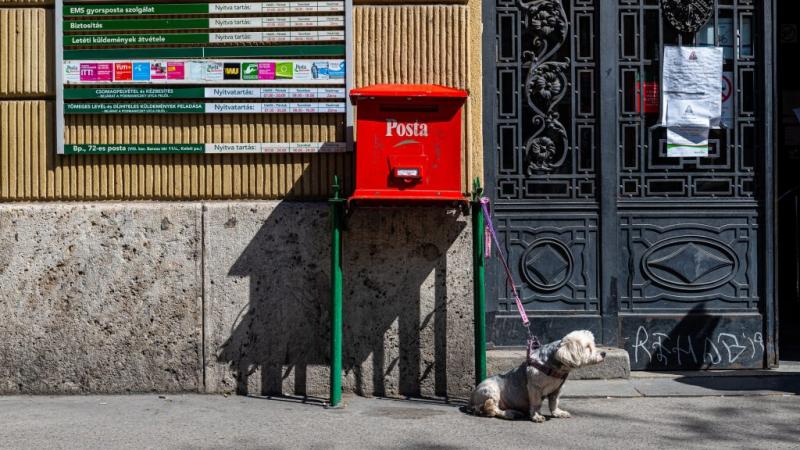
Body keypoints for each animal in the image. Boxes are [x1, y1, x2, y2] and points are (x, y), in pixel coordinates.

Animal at [466, 330, 604, 422]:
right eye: (588, 347)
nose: (604, 353)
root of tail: (471, 400)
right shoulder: (535, 388)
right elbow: (536, 403)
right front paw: (536, 416)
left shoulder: (557, 389)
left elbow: (554, 402)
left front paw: (557, 413)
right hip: (490, 390)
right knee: (492, 409)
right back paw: (509, 413)